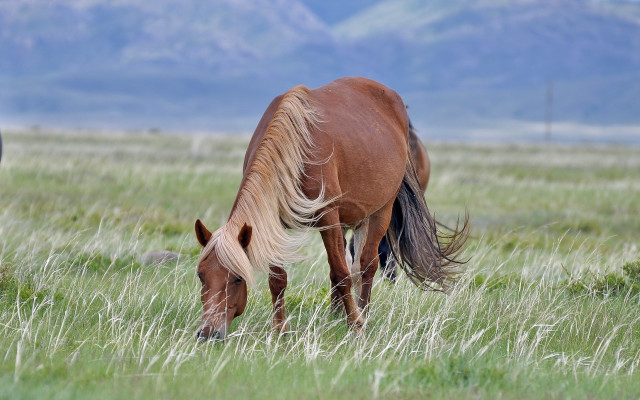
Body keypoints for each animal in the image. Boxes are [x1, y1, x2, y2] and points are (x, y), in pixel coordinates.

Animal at [194, 77, 469, 340]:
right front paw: (280, 329)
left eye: (238, 278)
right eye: (200, 275)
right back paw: (336, 315)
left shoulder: (328, 217)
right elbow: (278, 279)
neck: (294, 150)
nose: (208, 333)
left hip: (380, 212)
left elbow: (342, 272)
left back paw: (363, 314)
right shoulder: (273, 224)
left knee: (365, 266)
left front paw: (355, 325)